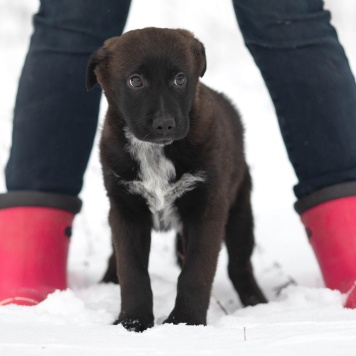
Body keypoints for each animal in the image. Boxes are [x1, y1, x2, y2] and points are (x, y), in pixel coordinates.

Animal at [86, 27, 266, 330]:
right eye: (135, 81)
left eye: (180, 79)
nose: (164, 125)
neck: (155, 151)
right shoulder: (125, 209)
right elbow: (132, 272)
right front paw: (132, 322)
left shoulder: (208, 208)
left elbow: (196, 271)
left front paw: (185, 322)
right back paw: (107, 282)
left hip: (240, 211)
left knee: (240, 265)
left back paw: (257, 303)